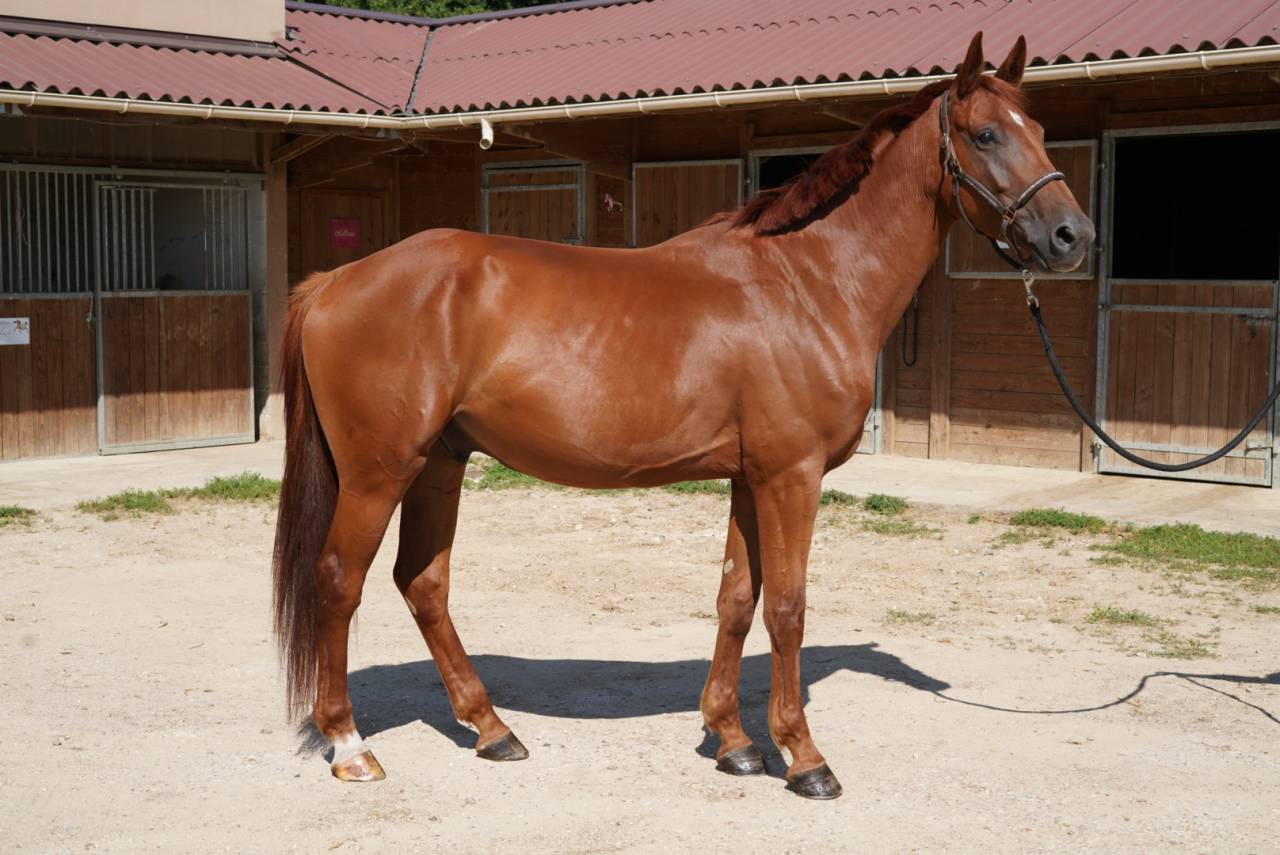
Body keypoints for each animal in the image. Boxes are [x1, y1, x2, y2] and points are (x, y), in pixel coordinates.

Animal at [272, 31, 1095, 800]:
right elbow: (788, 606)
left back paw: (492, 728)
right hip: (380, 472)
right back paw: (350, 746)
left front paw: (733, 741)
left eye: (1038, 127)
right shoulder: (791, 477)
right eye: (985, 134)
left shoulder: (750, 477)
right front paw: (804, 758)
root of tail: (334, 281)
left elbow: (736, 598)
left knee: (423, 582)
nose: (1073, 237)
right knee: (339, 580)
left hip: (440, 464)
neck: (807, 281)